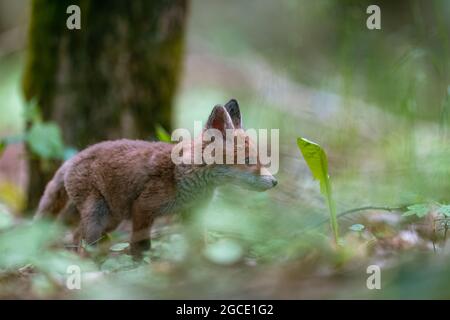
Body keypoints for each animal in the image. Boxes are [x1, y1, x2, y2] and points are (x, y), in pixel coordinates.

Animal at [35, 99, 276, 256]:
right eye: (248, 161)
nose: (275, 182)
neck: (189, 178)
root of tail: (71, 159)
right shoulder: (143, 208)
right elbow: (140, 246)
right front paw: (139, 265)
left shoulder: (194, 212)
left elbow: (200, 243)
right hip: (98, 213)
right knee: (82, 239)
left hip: (112, 217)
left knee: (76, 235)